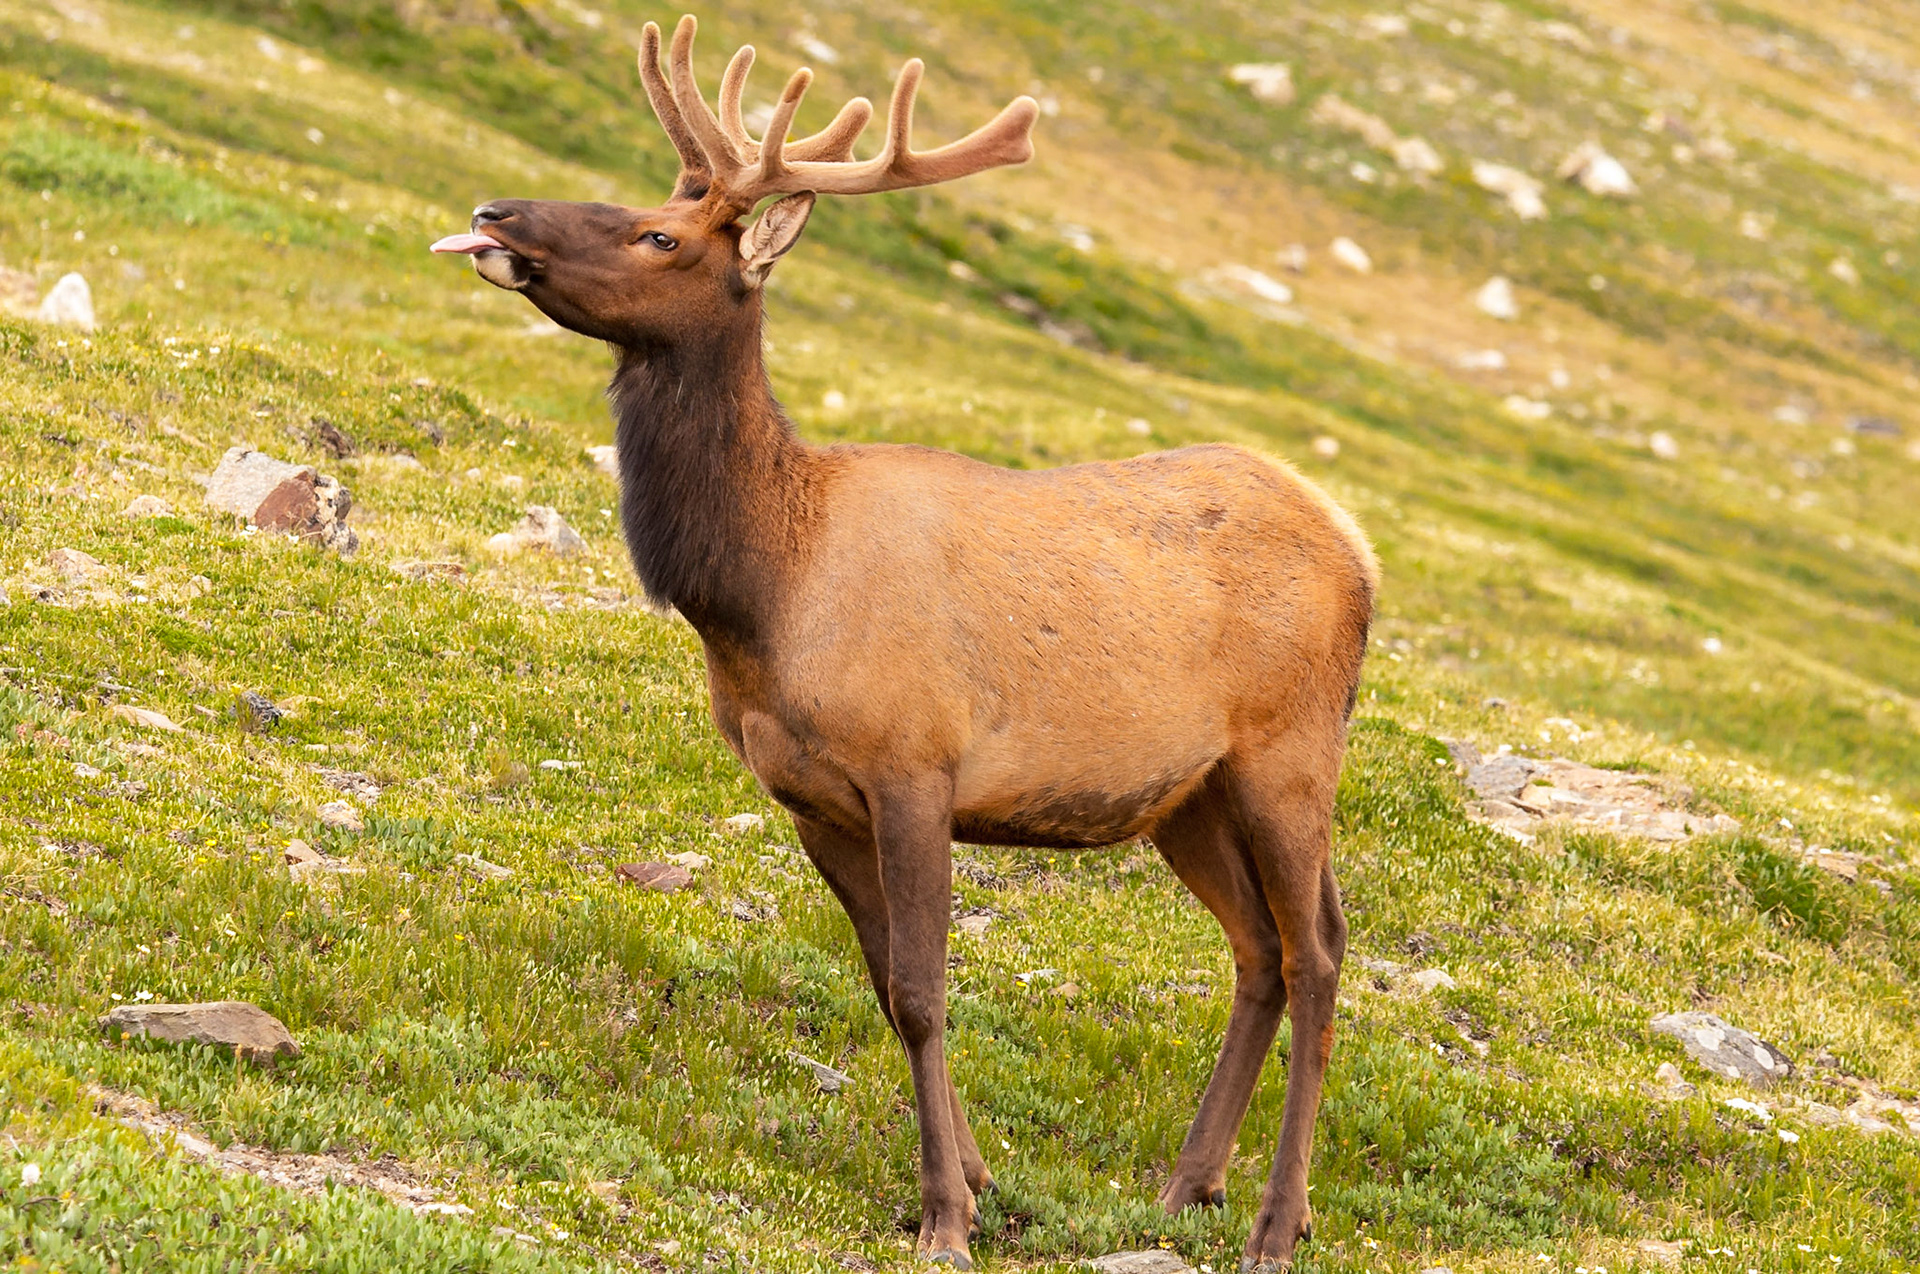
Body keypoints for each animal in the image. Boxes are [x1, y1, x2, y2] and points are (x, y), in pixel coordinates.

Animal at [430, 16, 1376, 1271]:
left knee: (1319, 951)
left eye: (658, 233)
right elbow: (884, 985)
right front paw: (975, 1175)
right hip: (1189, 792)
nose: (493, 213)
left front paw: (946, 1213)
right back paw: (1188, 1184)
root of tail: (1360, 547)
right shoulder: (809, 794)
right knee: (1261, 951)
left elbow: (925, 989)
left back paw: (1277, 1216)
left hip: (1290, 750)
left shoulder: (915, 760)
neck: (765, 592)